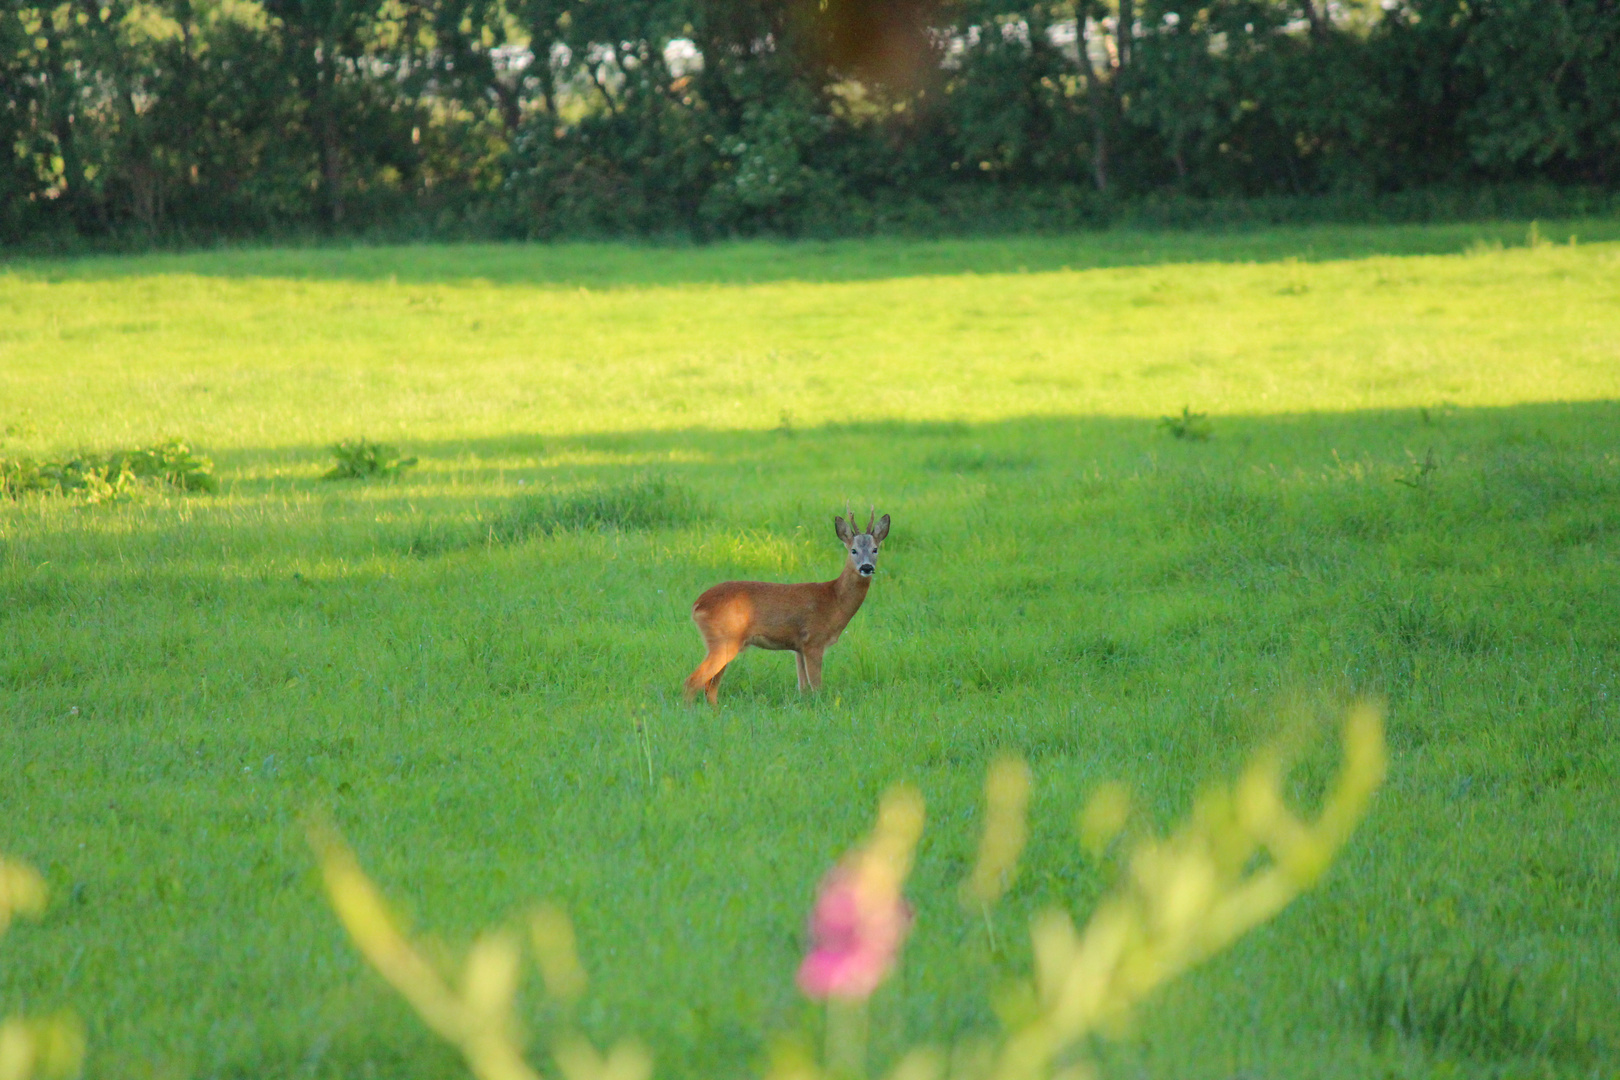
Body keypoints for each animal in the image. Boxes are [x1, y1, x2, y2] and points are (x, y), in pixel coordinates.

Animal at [680, 501, 894, 705]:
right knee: (693, 681)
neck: (834, 601)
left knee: (710, 687)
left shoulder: (798, 647)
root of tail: (697, 605)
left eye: (875, 549)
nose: (866, 567)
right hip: (725, 639)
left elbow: (803, 689)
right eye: (853, 550)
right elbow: (817, 688)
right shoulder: (813, 640)